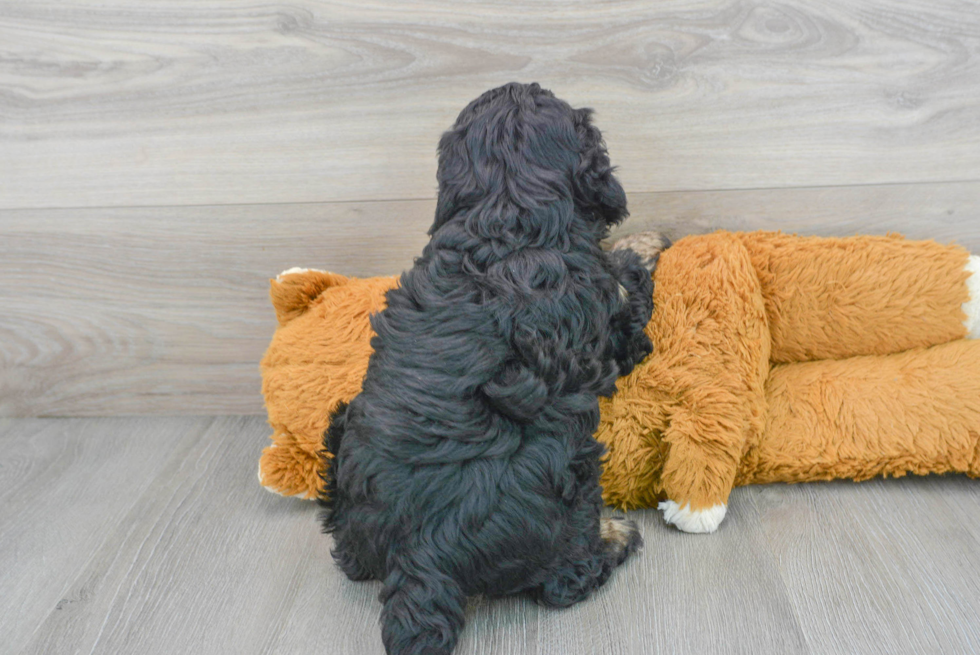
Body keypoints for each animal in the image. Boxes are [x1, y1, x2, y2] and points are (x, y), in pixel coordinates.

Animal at [322, 82, 656, 655]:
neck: (505, 216)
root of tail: (418, 559)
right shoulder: (611, 325)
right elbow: (625, 283)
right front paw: (646, 245)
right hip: (566, 471)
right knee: (564, 579)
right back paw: (615, 536)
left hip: (342, 428)